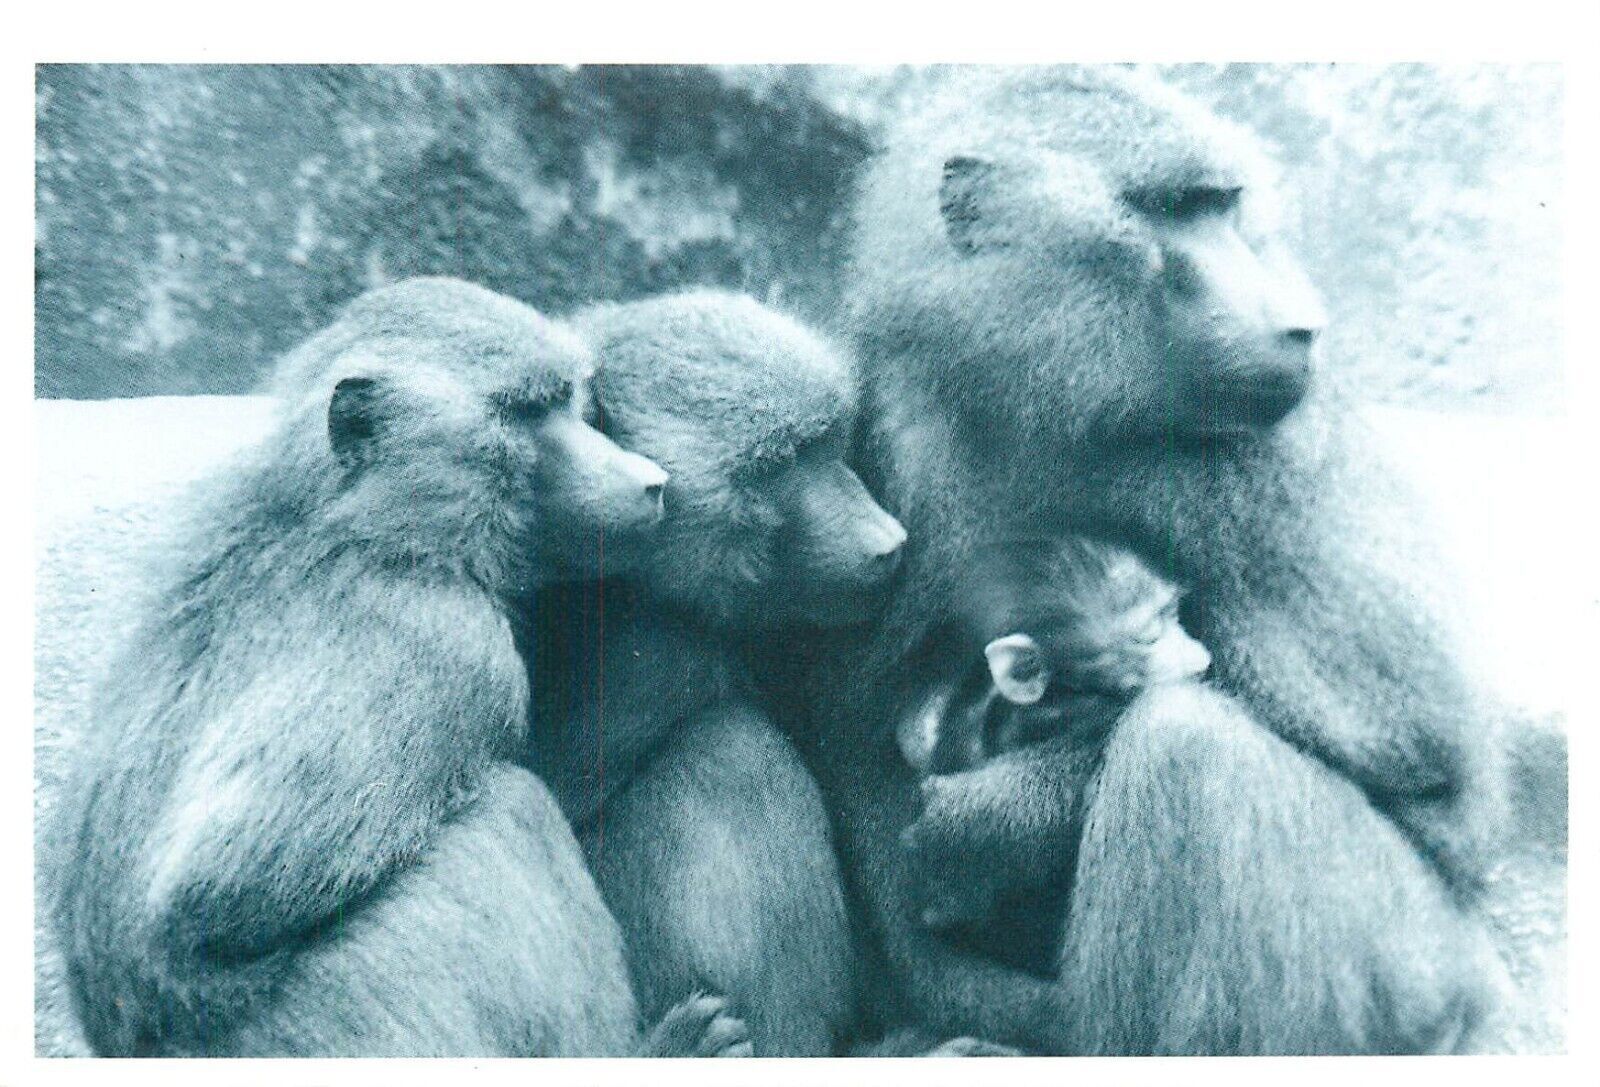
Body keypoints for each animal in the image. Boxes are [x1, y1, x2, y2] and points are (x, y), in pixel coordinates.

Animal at [47, 277, 751, 1057]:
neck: (370, 525)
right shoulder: (449, 644)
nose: (650, 481)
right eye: (523, 411)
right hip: (342, 1022)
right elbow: (215, 896)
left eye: (569, 401)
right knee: (505, 812)